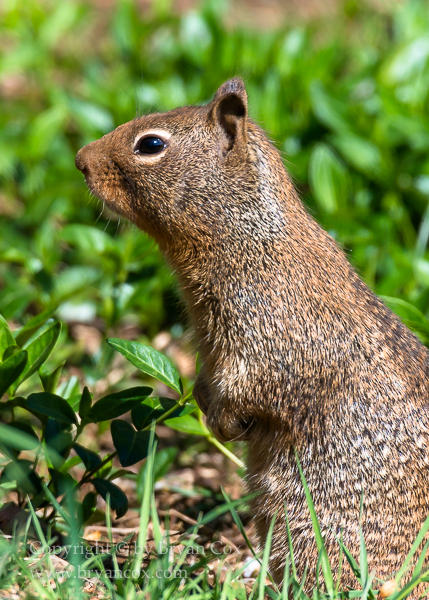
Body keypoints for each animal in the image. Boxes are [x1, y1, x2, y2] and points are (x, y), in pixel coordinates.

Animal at [75, 81, 428, 596]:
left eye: (151, 144)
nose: (80, 159)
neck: (250, 238)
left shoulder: (270, 340)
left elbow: (251, 386)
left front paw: (224, 423)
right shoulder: (212, 343)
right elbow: (210, 380)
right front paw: (207, 405)